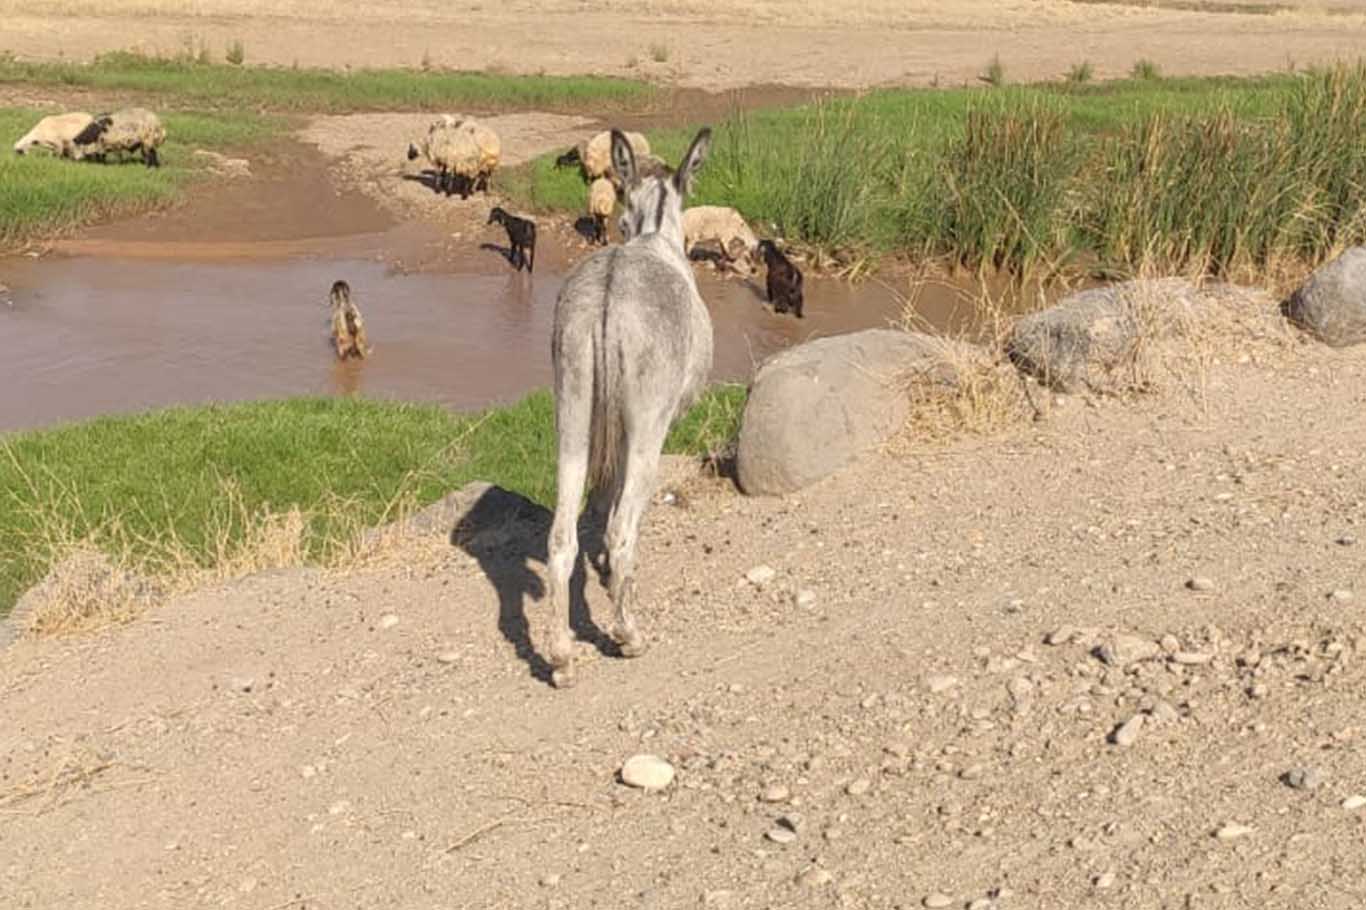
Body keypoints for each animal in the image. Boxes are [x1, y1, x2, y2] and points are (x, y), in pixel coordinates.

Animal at [543, 124, 715, 683]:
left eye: (618, 215)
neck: (653, 235)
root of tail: (608, 297)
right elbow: (619, 503)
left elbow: (603, 496)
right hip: (647, 425)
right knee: (622, 529)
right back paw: (628, 634)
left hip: (571, 410)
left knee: (560, 537)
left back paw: (561, 658)